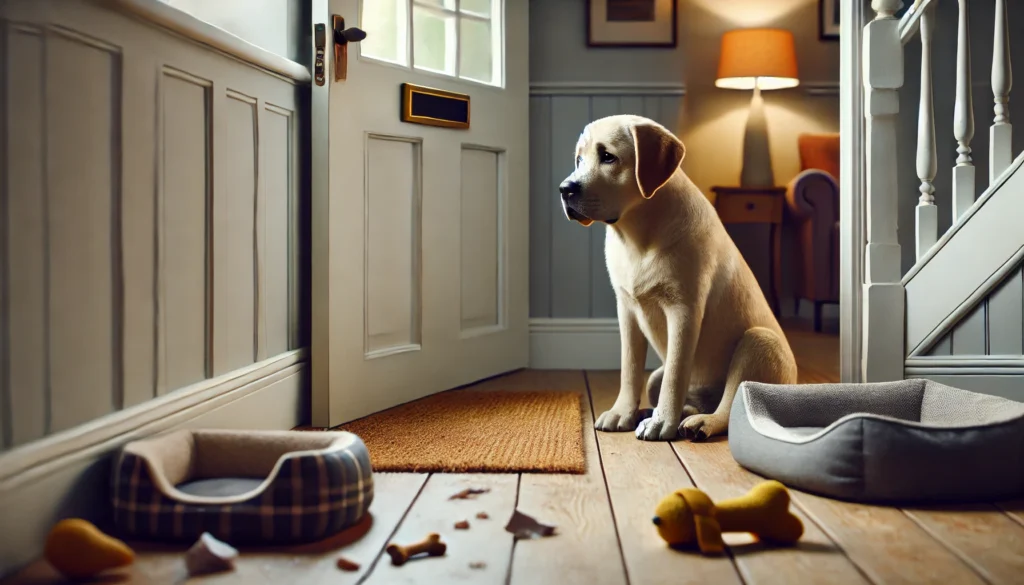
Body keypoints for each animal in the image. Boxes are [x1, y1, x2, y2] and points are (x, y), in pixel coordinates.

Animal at [561, 116, 798, 442]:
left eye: (608, 156)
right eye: (579, 159)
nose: (565, 189)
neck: (637, 237)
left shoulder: (684, 310)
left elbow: (675, 372)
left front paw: (662, 422)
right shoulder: (627, 310)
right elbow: (629, 368)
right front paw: (623, 413)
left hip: (758, 341)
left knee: (731, 405)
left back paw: (700, 422)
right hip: (660, 376)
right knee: (669, 389)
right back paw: (666, 412)